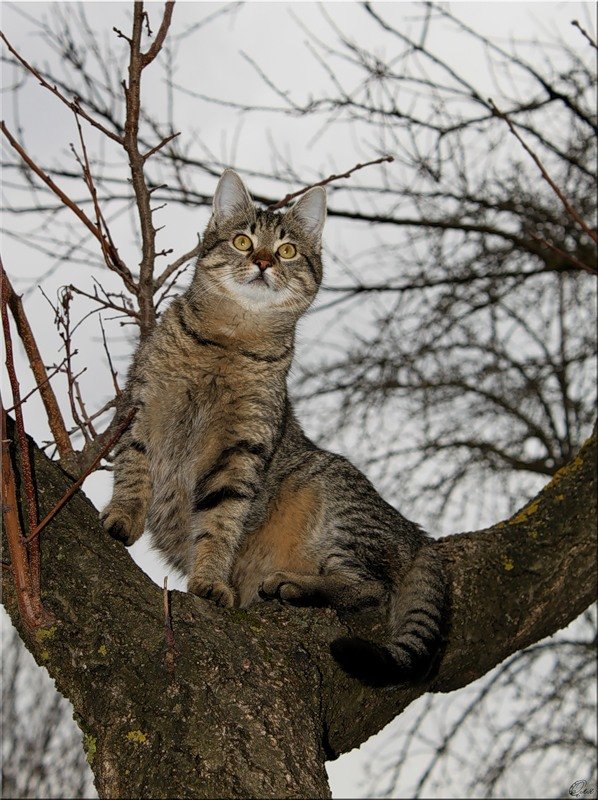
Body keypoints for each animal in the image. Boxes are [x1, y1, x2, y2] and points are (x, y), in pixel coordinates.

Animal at [101, 170, 448, 688]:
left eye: (286, 250)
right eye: (243, 241)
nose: (263, 261)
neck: (231, 339)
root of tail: (416, 533)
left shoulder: (242, 448)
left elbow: (220, 520)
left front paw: (209, 580)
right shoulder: (142, 408)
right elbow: (133, 469)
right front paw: (123, 515)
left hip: (336, 506)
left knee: (368, 588)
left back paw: (293, 585)